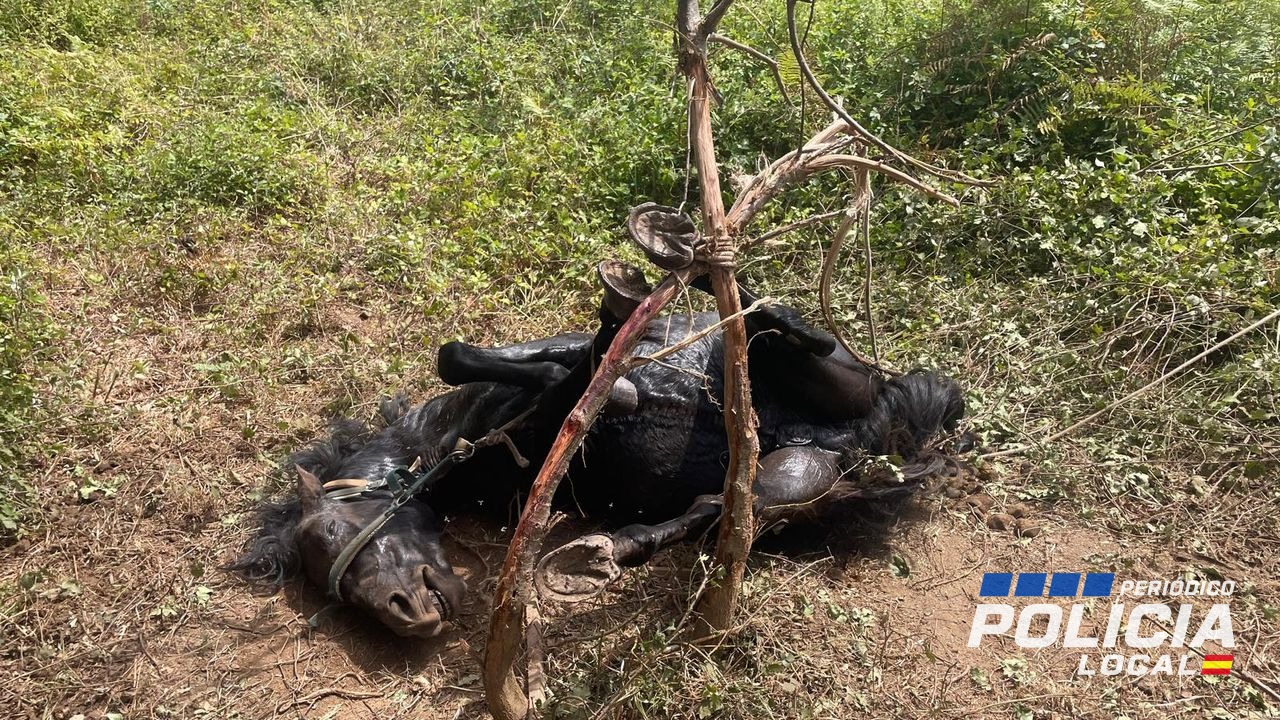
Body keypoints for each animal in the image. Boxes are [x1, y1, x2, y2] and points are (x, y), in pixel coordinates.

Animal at [229, 261, 965, 638]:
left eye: (331, 530)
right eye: (335, 584)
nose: (402, 614)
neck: (471, 438)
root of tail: (879, 433)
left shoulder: (536, 360)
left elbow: (470, 356)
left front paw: (615, 371)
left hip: (828, 383)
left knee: (787, 337)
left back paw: (743, 295)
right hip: (797, 475)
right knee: (719, 508)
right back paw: (607, 550)